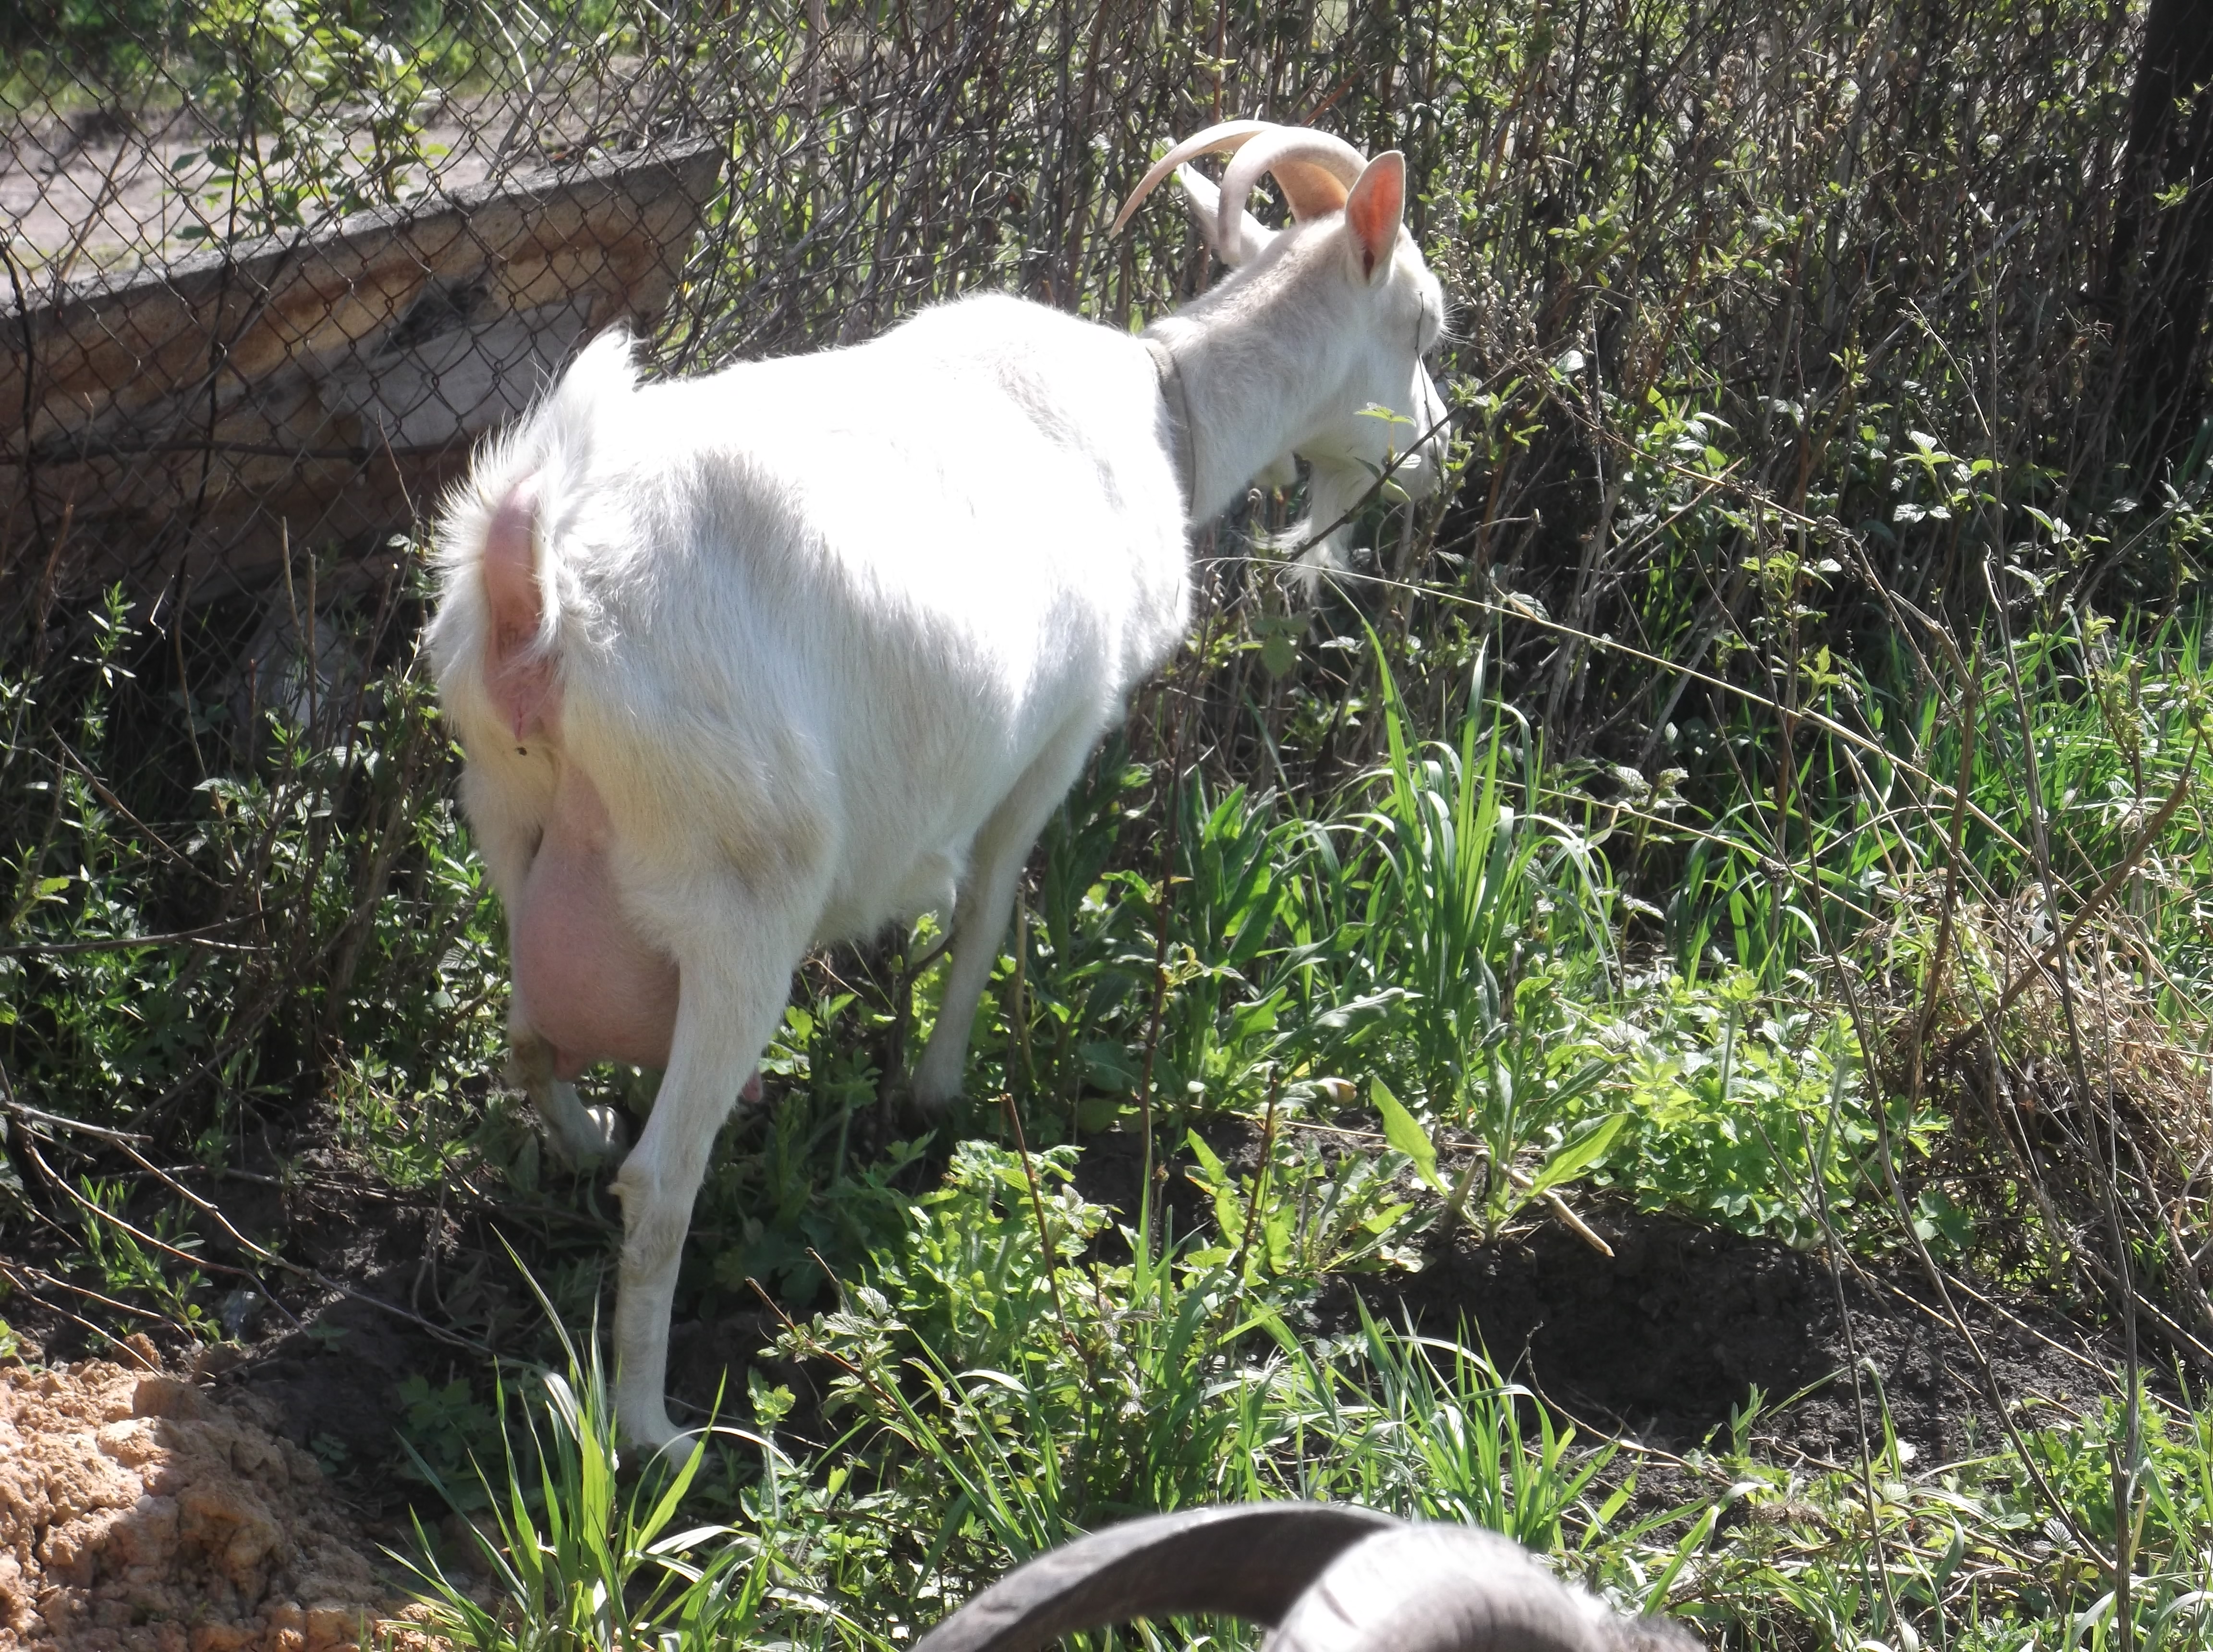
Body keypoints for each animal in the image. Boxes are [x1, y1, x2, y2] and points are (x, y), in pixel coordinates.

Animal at [427, 119, 1451, 1450]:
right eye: (1424, 325)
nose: (1437, 457)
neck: (1166, 412)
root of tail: (532, 586)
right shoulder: (1059, 734)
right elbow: (986, 904)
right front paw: (937, 1087)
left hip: (512, 825)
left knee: (526, 1041)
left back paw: (587, 1134)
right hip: (740, 885)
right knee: (660, 1182)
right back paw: (655, 1430)